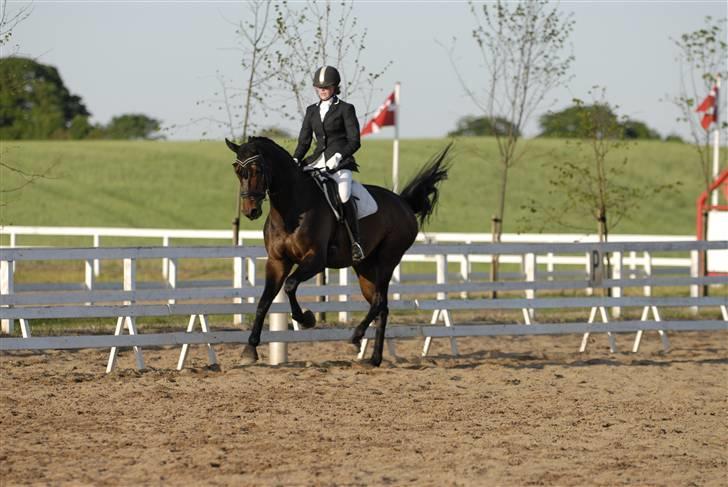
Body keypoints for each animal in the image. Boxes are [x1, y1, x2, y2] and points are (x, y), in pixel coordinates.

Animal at [225, 136, 450, 366]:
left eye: (257, 169)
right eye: (237, 170)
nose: (250, 210)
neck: (292, 209)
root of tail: (404, 203)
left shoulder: (315, 260)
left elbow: (289, 285)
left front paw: (306, 319)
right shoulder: (277, 261)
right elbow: (264, 301)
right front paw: (249, 350)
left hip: (388, 260)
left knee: (379, 302)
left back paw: (357, 337)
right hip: (365, 268)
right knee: (381, 307)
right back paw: (374, 358)